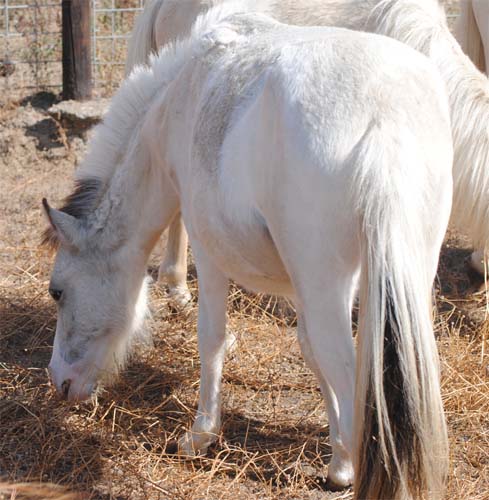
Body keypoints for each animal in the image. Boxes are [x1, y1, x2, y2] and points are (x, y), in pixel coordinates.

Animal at [43, 4, 452, 499]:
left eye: (58, 292)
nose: (59, 381)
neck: (178, 99)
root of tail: (382, 118)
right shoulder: (299, 286)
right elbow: (309, 352)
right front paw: (339, 464)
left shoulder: (209, 252)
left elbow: (212, 339)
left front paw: (200, 435)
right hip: (403, 278)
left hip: (328, 289)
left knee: (351, 376)